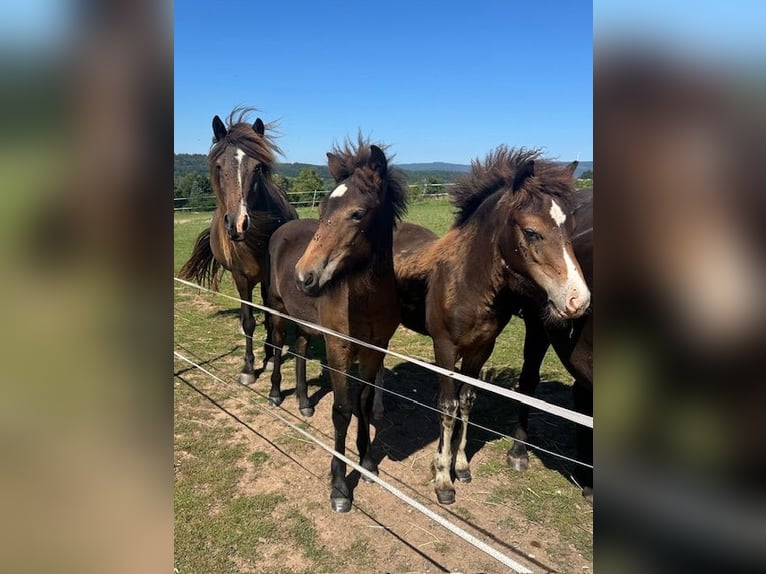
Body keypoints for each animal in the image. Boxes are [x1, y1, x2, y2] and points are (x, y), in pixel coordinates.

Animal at [178, 108, 298, 384]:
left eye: (258, 167)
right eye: (219, 166)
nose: (238, 224)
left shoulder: (268, 279)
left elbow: (268, 316)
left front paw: (267, 355)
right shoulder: (240, 278)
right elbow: (248, 321)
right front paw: (248, 369)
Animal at [266, 139, 407, 512]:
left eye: (357, 213)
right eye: (323, 207)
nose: (305, 276)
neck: (366, 300)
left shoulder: (375, 350)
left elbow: (365, 402)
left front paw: (368, 463)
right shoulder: (338, 348)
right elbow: (342, 410)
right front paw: (340, 487)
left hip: (306, 322)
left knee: (300, 348)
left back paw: (304, 401)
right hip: (278, 310)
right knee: (278, 345)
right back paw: (275, 394)